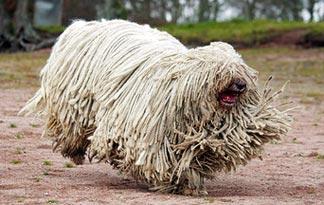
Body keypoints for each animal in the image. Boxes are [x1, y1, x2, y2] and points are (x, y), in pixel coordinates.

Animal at [21, 19, 292, 195]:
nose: (239, 84)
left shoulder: (196, 135)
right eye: (220, 70)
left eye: (240, 70)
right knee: (71, 125)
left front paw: (188, 182)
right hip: (75, 97)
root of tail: (82, 26)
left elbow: (196, 155)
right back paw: (73, 149)